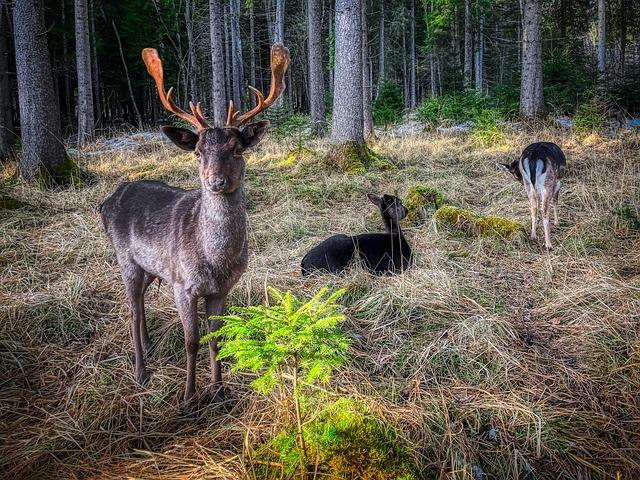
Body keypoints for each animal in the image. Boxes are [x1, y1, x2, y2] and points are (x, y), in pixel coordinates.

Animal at [101, 44, 292, 408]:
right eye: (198, 152)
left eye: (237, 148)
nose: (216, 181)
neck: (214, 261)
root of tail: (107, 200)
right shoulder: (183, 285)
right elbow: (192, 341)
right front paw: (189, 398)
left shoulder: (221, 288)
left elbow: (216, 338)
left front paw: (219, 390)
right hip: (125, 259)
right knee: (131, 309)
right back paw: (140, 371)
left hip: (152, 267)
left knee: (141, 303)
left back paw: (149, 346)